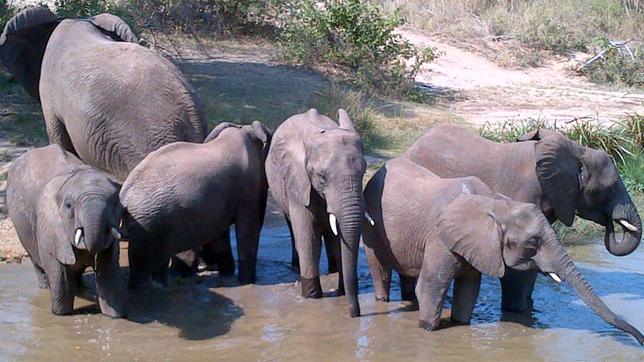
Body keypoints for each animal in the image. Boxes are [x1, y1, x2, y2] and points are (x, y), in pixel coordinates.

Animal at [6, 144, 126, 316]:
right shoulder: (49, 224)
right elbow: (59, 272)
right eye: (69, 206)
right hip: (21, 227)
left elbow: (108, 268)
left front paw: (116, 316)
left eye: (115, 203)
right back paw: (47, 287)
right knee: (37, 262)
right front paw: (61, 314)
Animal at [122, 121, 272, 288]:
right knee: (144, 263)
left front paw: (227, 278)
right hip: (148, 221)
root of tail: (124, 195)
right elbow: (248, 228)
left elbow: (221, 233)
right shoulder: (248, 184)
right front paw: (247, 284)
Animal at [266, 107, 368, 316]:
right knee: (293, 228)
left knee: (330, 233)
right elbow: (309, 236)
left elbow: (339, 236)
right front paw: (312, 298)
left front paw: (341, 291)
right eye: (322, 177)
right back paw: (296, 266)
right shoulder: (298, 180)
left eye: (364, 172)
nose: (354, 315)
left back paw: (333, 269)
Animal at [406, 124, 640, 312]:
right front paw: (519, 312)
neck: (576, 151)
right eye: (610, 188)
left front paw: (531, 308)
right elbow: (516, 270)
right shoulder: (523, 195)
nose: (610, 224)